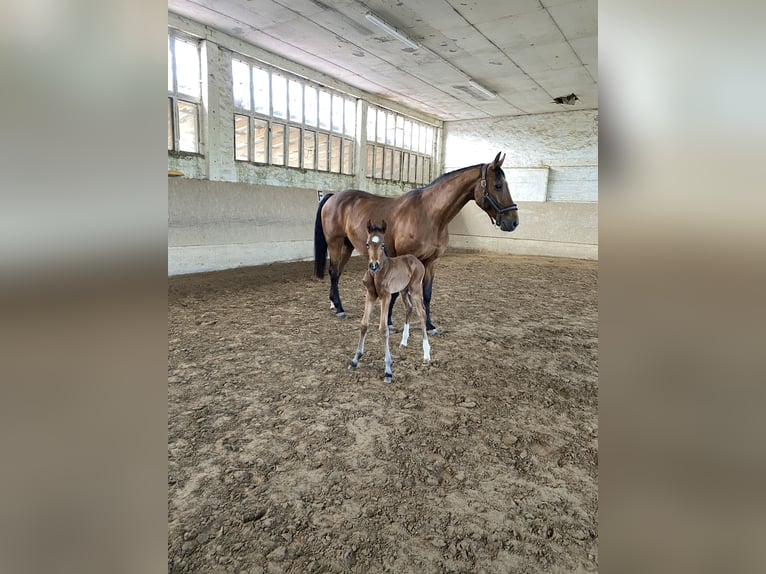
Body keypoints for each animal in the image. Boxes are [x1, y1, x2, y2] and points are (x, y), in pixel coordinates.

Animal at [314, 153, 520, 336]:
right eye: (498, 185)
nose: (513, 222)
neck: (429, 214)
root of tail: (333, 197)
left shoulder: (431, 262)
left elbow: (426, 294)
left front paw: (429, 325)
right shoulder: (404, 258)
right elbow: (397, 292)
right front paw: (390, 323)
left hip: (348, 246)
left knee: (337, 272)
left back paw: (333, 303)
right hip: (335, 243)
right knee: (333, 272)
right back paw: (339, 309)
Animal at [350, 223, 432, 384]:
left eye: (383, 245)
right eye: (367, 244)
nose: (373, 265)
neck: (378, 273)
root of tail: (417, 260)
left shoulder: (386, 297)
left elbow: (383, 329)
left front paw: (388, 370)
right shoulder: (370, 295)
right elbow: (364, 325)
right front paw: (355, 360)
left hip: (415, 289)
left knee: (422, 314)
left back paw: (426, 355)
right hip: (403, 290)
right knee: (409, 308)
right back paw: (404, 342)